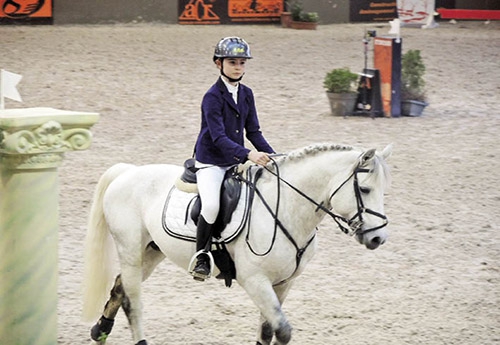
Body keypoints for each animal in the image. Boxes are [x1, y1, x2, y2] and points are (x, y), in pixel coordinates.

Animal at [82, 141, 392, 342]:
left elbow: (268, 330)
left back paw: (100, 331)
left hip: (151, 252)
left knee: (120, 287)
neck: (285, 207)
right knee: (132, 302)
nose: (378, 238)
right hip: (130, 250)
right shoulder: (255, 280)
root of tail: (126, 172)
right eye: (365, 190)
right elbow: (282, 330)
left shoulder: (284, 283)